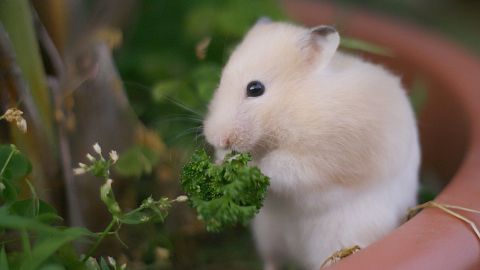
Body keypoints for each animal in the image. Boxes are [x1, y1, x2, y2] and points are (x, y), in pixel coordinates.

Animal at [202, 20, 420, 270]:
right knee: (272, 260)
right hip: (268, 235)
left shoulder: (321, 160)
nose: (216, 138)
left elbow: (279, 166)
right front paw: (220, 162)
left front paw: (245, 167)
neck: (294, 104)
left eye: (255, 88)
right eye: (220, 81)